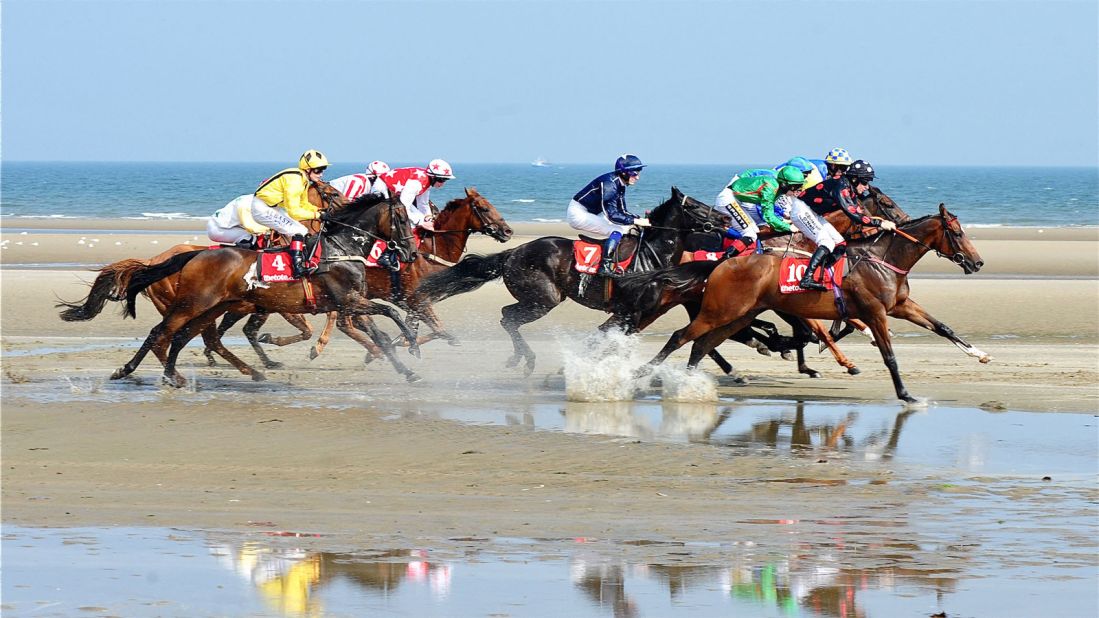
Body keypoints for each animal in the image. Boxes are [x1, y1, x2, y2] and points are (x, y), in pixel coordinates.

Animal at [415, 184, 734, 373]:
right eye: (694, 205)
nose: (726, 219)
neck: (651, 256)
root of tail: (513, 252)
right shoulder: (629, 311)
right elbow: (604, 339)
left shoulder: (638, 313)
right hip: (543, 299)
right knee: (508, 317)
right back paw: (525, 359)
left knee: (507, 317)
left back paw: (519, 358)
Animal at [637, 204, 989, 402]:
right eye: (957, 233)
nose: (977, 263)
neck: (882, 258)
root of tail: (723, 262)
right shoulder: (876, 312)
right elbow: (889, 356)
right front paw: (905, 394)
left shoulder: (899, 305)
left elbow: (942, 327)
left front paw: (980, 354)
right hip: (718, 311)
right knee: (681, 337)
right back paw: (643, 373)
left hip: (738, 314)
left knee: (701, 345)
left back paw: (691, 383)